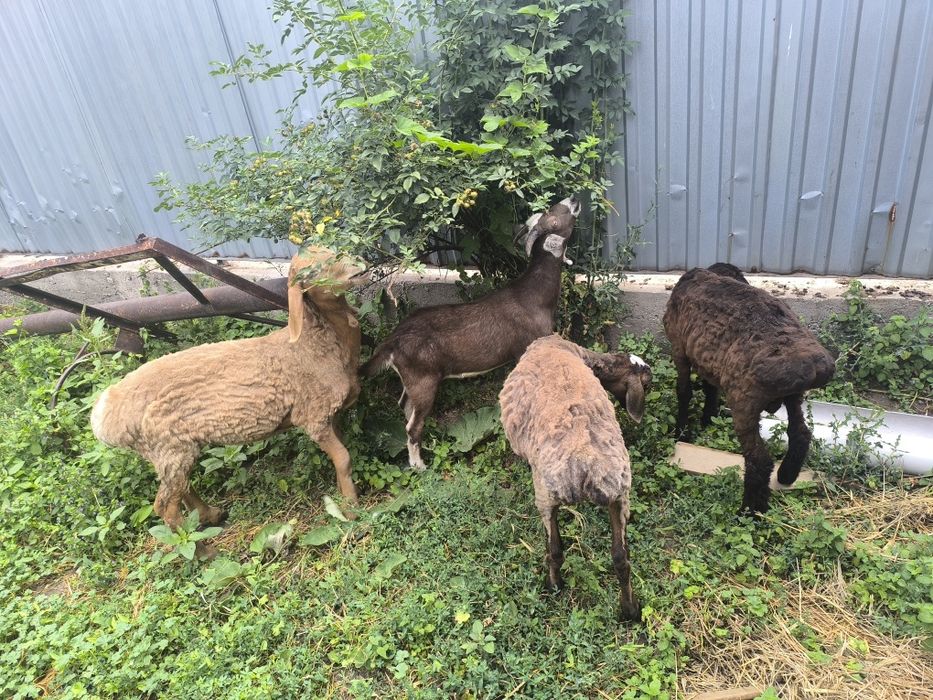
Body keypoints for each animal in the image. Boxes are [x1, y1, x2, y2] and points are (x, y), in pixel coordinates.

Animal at [91, 247, 365, 551]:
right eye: (311, 272)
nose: (358, 268)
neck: (314, 343)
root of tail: (107, 412)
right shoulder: (313, 415)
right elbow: (344, 459)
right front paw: (352, 509)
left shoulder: (332, 414)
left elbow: (341, 459)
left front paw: (342, 496)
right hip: (167, 446)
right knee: (165, 507)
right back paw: (203, 552)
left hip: (169, 451)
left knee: (181, 488)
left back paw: (209, 515)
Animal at [362, 196, 582, 470]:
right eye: (553, 220)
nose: (574, 199)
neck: (535, 296)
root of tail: (391, 341)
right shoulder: (529, 346)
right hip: (423, 379)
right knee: (413, 425)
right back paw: (420, 466)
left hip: (412, 379)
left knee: (405, 406)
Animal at [498, 334, 652, 621]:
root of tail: (588, 463)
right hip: (620, 494)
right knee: (621, 558)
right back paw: (630, 610)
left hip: (546, 495)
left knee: (556, 550)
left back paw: (554, 585)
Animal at [663, 262, 836, 514]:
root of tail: (815, 366)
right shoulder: (709, 357)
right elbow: (710, 389)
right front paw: (707, 418)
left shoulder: (679, 349)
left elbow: (684, 392)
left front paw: (681, 432)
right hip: (793, 396)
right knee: (800, 433)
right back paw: (786, 476)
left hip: (744, 401)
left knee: (759, 461)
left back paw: (750, 511)